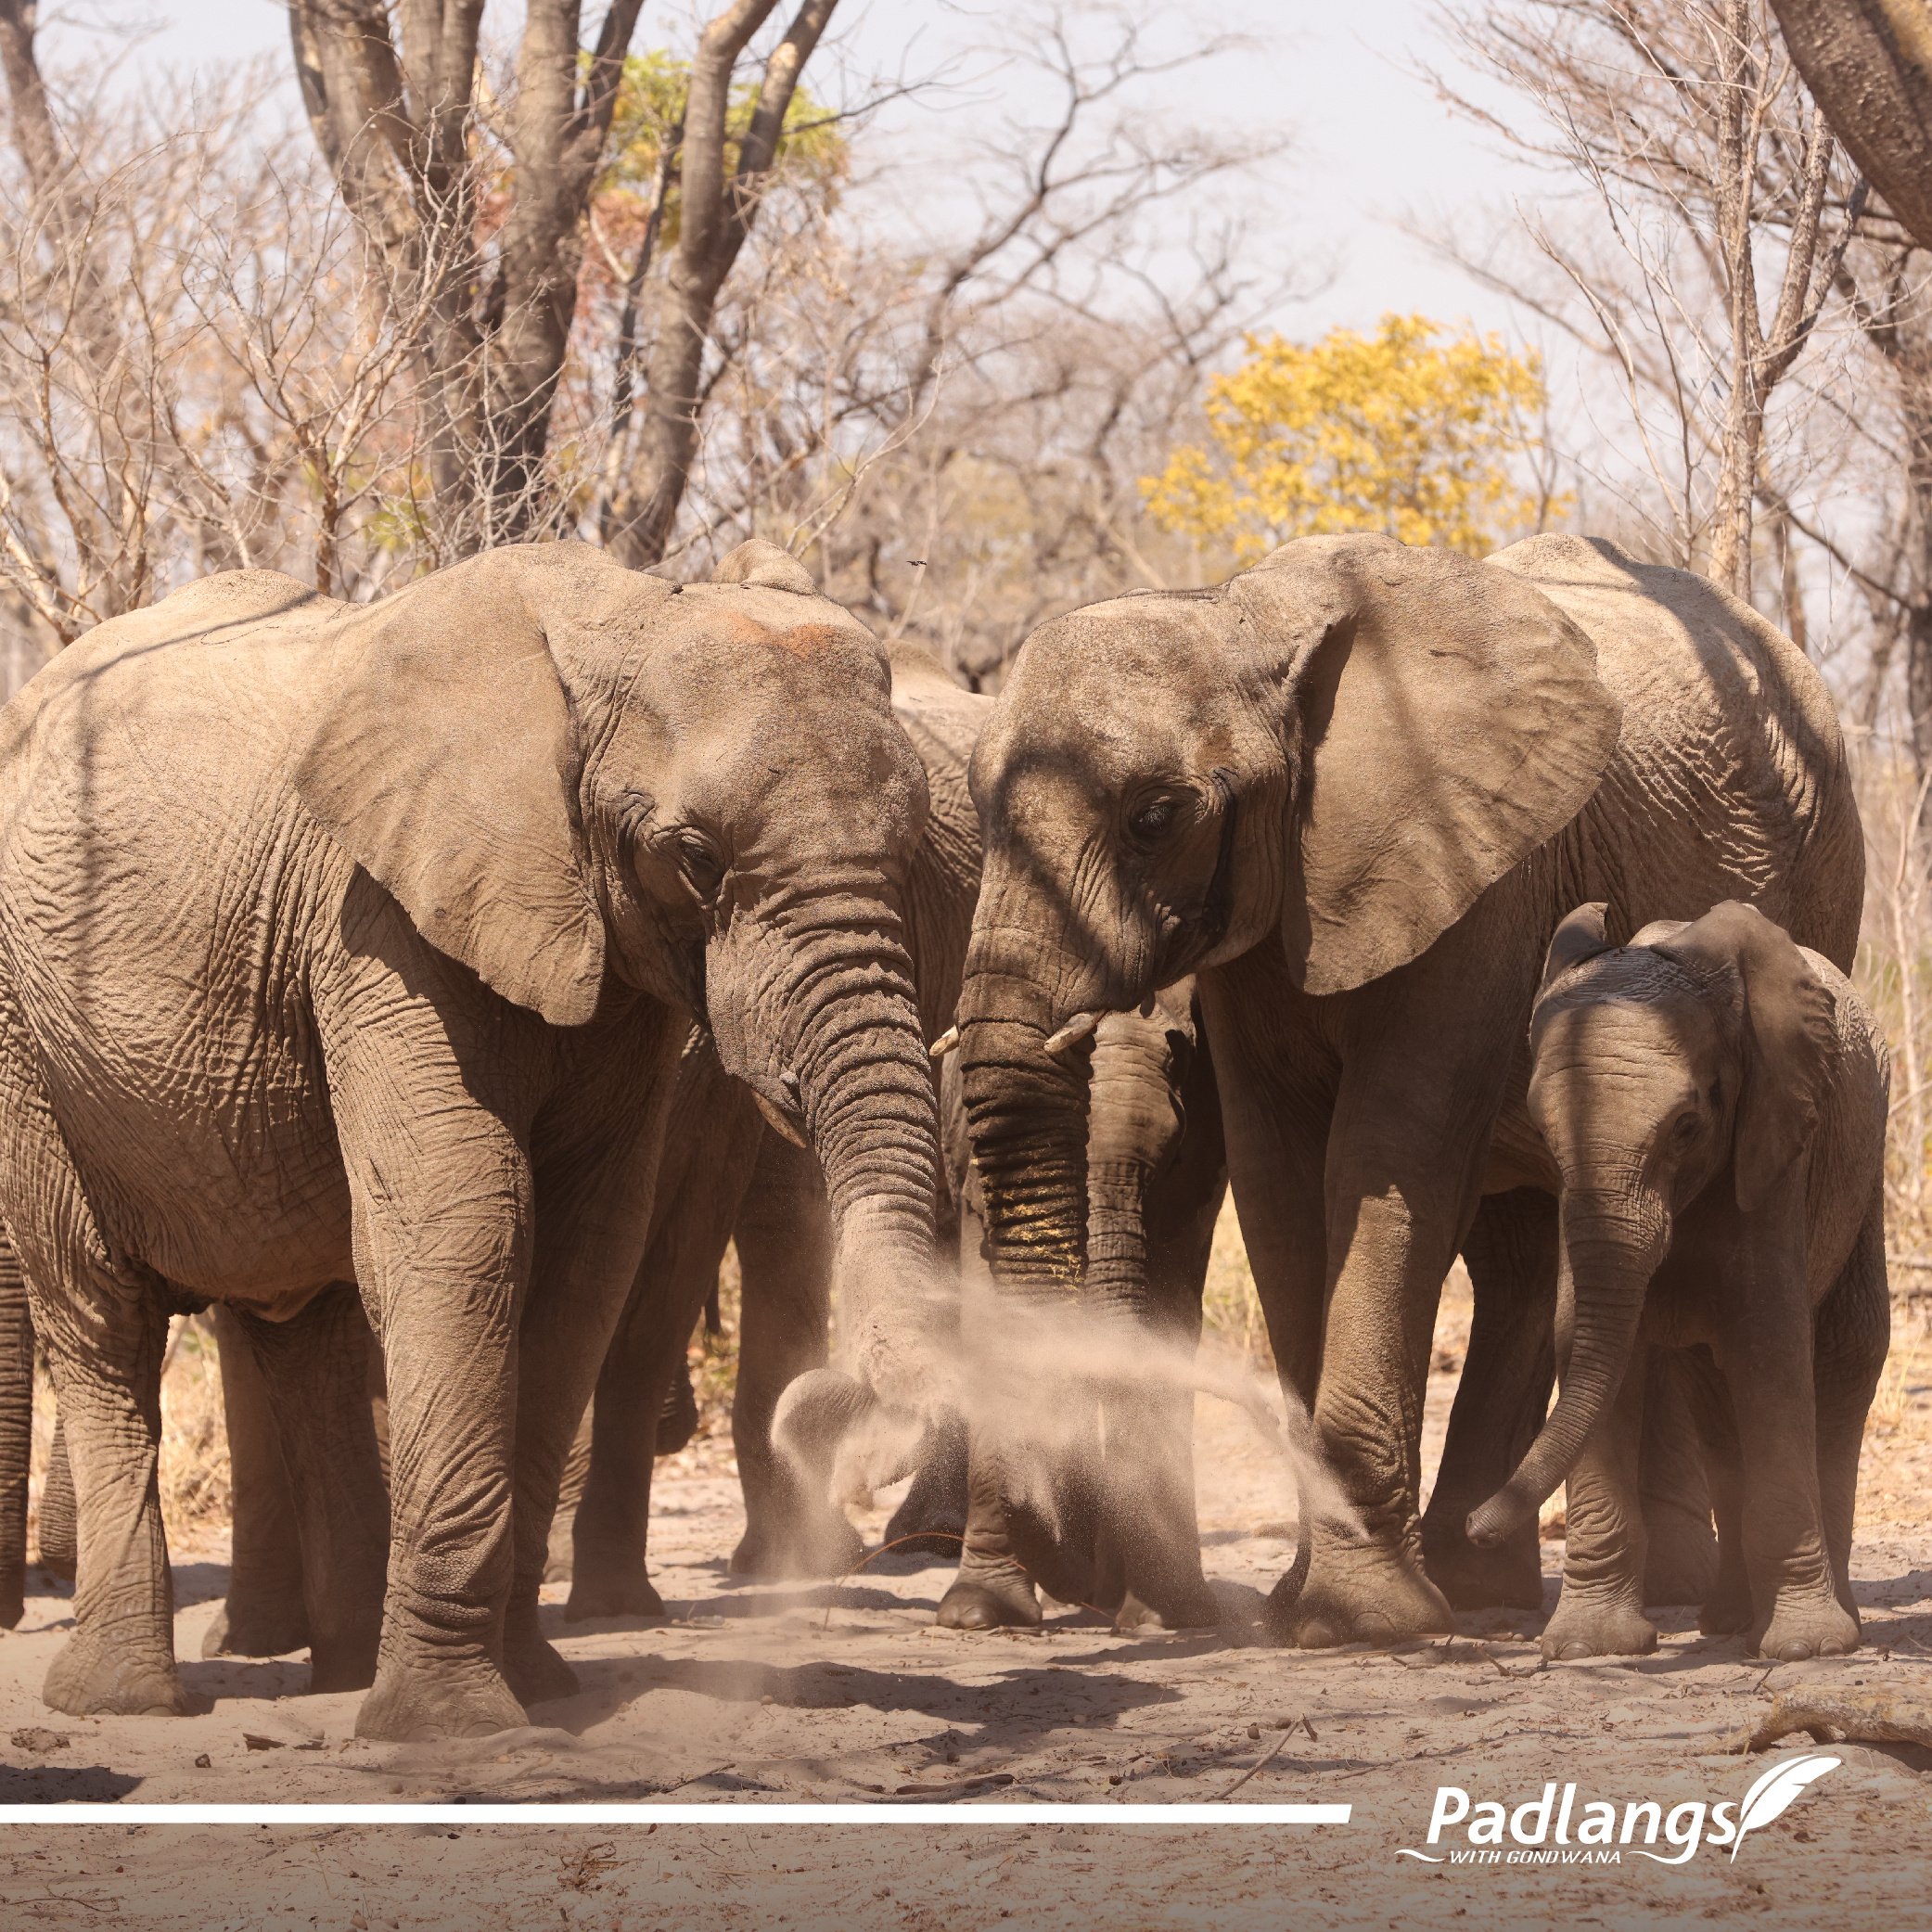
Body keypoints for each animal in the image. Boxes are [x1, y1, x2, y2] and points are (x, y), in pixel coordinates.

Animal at [0, 535, 946, 1739]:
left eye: (917, 849)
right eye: (693, 854)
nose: (847, 1417)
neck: (619, 618)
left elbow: (586, 1262)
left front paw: (532, 1687)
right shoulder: (380, 917)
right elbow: (468, 1229)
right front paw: (451, 1727)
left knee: (301, 1325)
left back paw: (342, 1668)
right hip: (32, 1042)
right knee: (99, 1310)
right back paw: (125, 1703)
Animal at [1465, 901, 1890, 1662]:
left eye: (1687, 1125)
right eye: (1543, 1131)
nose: (1472, 1525)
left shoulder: (1778, 1145)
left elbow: (1769, 1348)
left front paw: (1805, 1647)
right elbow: (1590, 1345)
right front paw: (1591, 1647)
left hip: (1860, 1163)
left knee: (1845, 1352)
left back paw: (1827, 1626)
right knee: (1710, 1395)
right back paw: (1729, 1622)